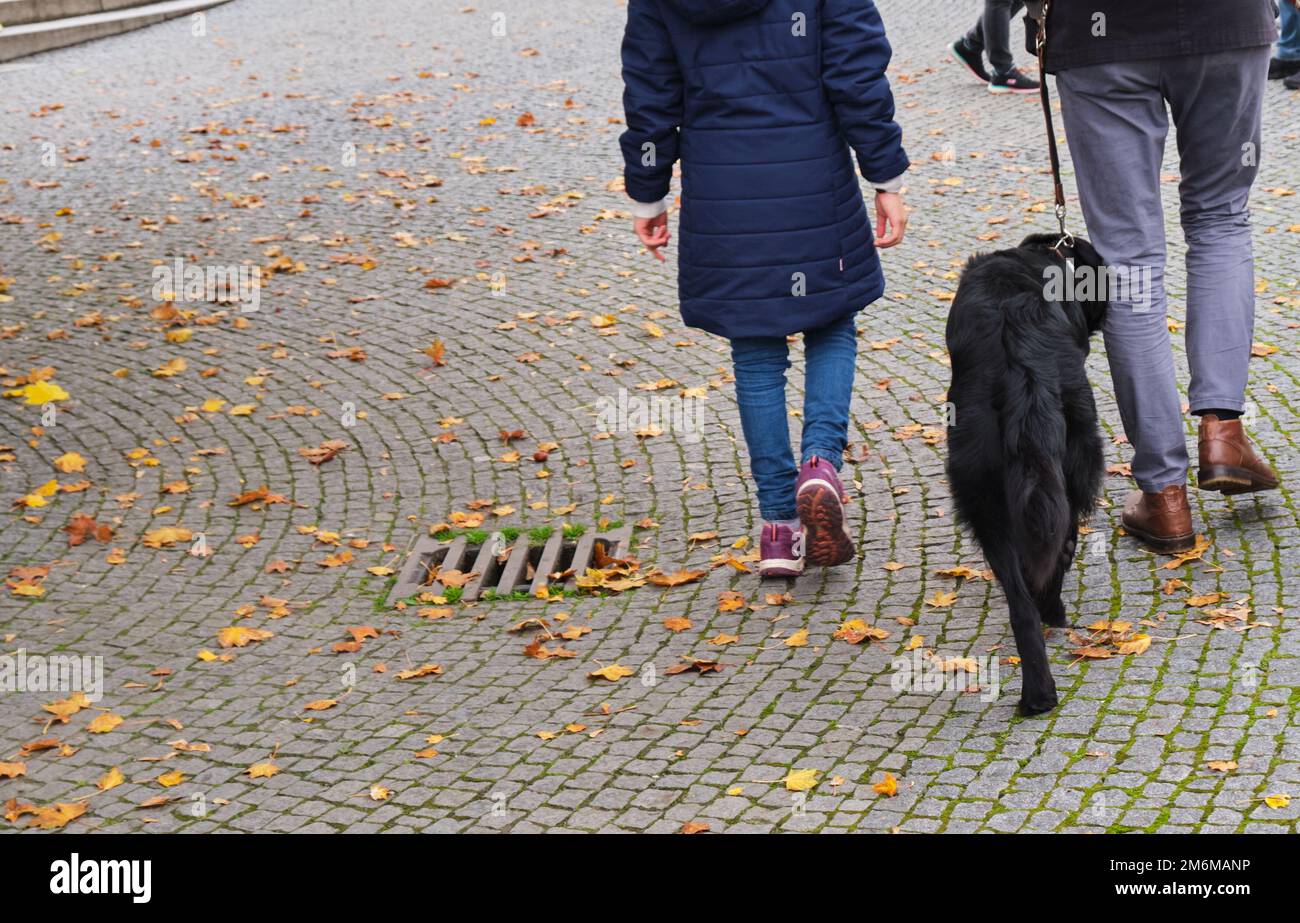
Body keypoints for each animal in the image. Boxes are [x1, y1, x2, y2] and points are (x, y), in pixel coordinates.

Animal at [946, 235, 1107, 717]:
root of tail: (1019, 364)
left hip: (982, 497)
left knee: (1020, 602)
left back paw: (1037, 693)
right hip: (1075, 467)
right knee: (1060, 549)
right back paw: (1053, 613)